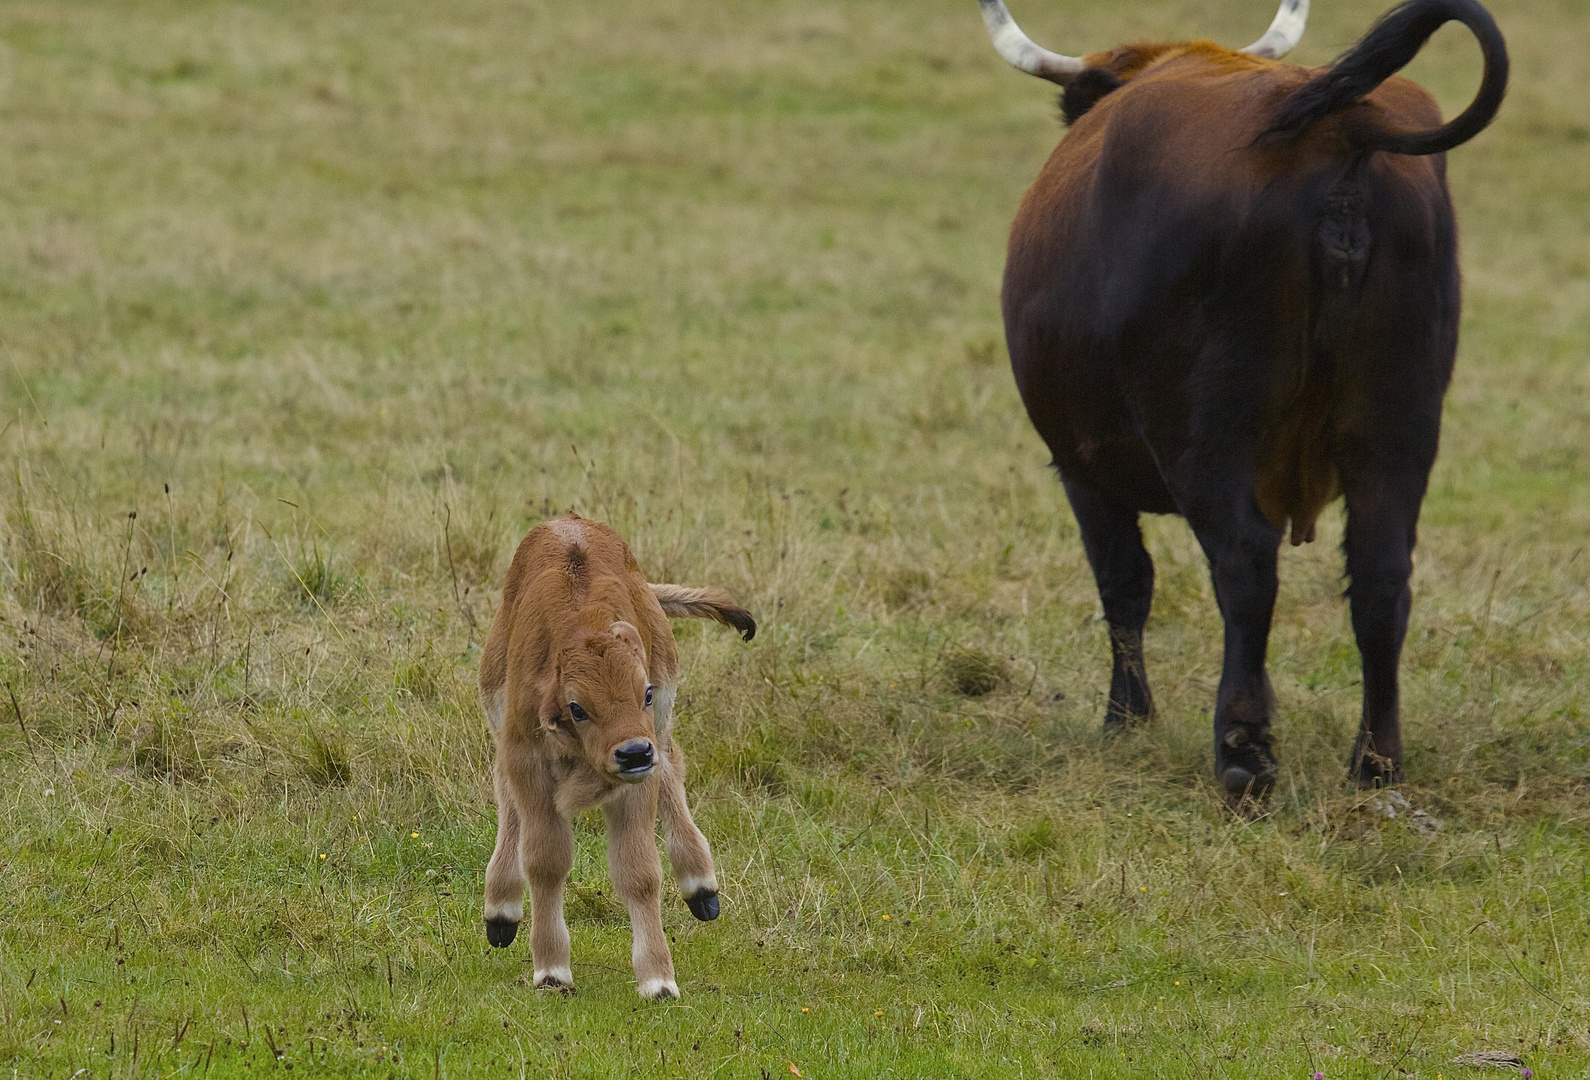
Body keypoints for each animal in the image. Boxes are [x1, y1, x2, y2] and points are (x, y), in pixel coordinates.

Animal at [477, 515, 756, 998]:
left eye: (644, 692)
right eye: (577, 708)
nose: (633, 754)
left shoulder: (640, 775)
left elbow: (639, 872)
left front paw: (659, 980)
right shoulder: (526, 759)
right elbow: (545, 861)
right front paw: (552, 971)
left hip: (661, 727)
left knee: (673, 768)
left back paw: (701, 888)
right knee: (506, 799)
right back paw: (501, 911)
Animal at [973, 0, 1507, 795]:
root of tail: (1331, 124)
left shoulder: (1083, 465)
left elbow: (1123, 584)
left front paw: (1126, 719)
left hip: (1207, 436)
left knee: (1246, 568)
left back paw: (1244, 752)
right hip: (1398, 427)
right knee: (1382, 580)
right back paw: (1375, 762)